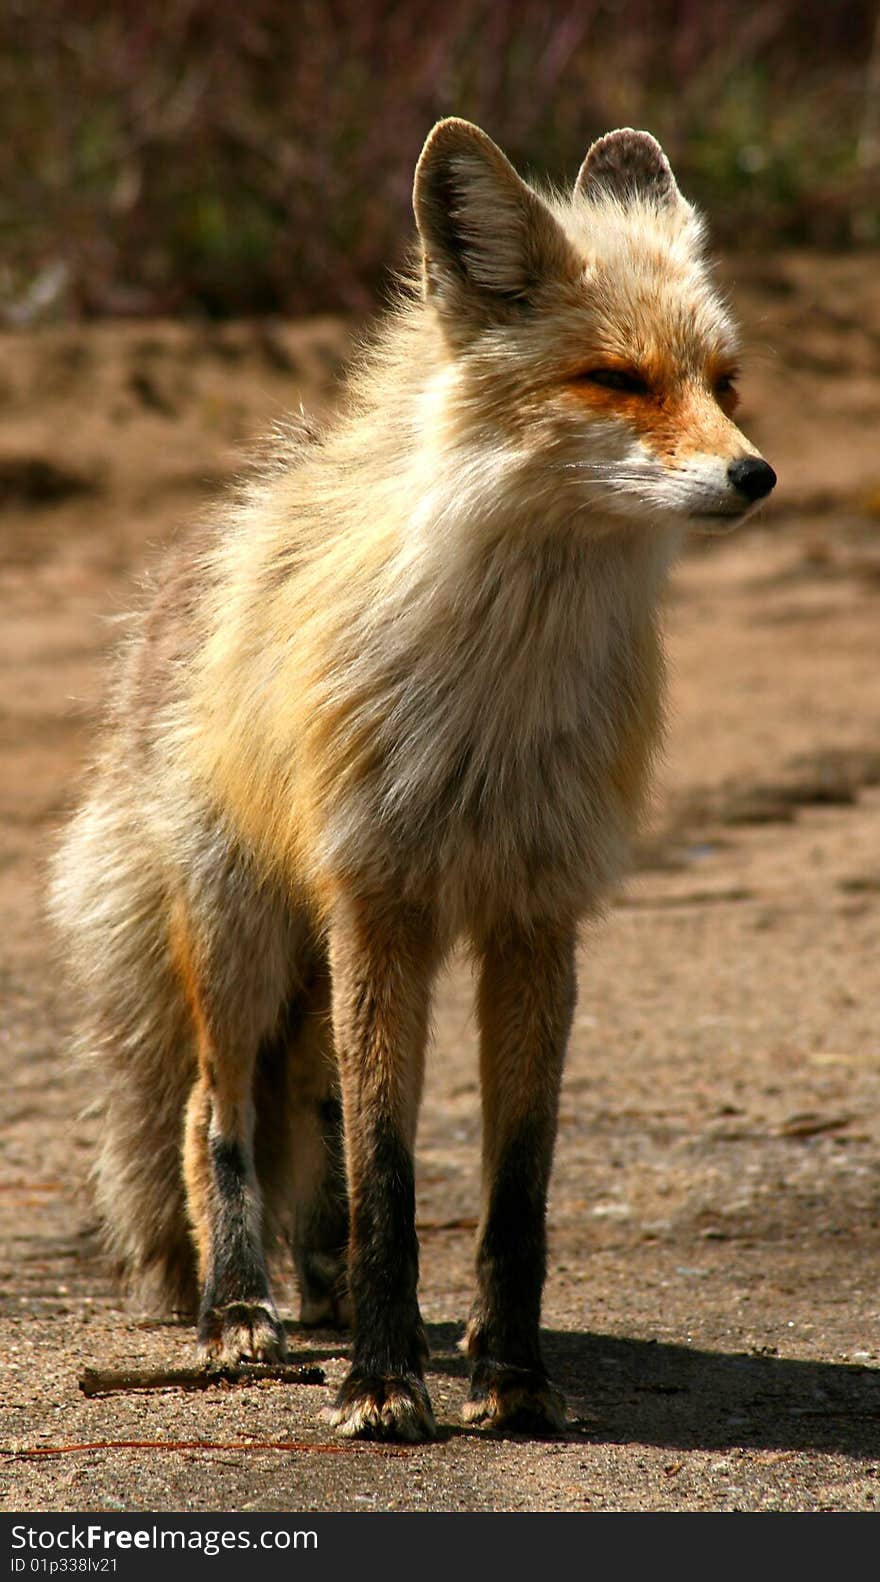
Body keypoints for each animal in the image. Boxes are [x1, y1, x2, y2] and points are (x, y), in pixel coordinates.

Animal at [49, 117, 775, 1442]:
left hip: (328, 952)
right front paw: (385, 1384)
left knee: (314, 1115)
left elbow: (513, 1189)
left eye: (723, 381)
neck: (499, 691)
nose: (757, 477)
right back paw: (241, 1308)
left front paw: (511, 1373)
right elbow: (389, 1174)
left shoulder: (536, 911)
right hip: (243, 939)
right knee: (213, 1116)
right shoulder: (379, 896)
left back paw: (331, 1291)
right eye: (617, 379)